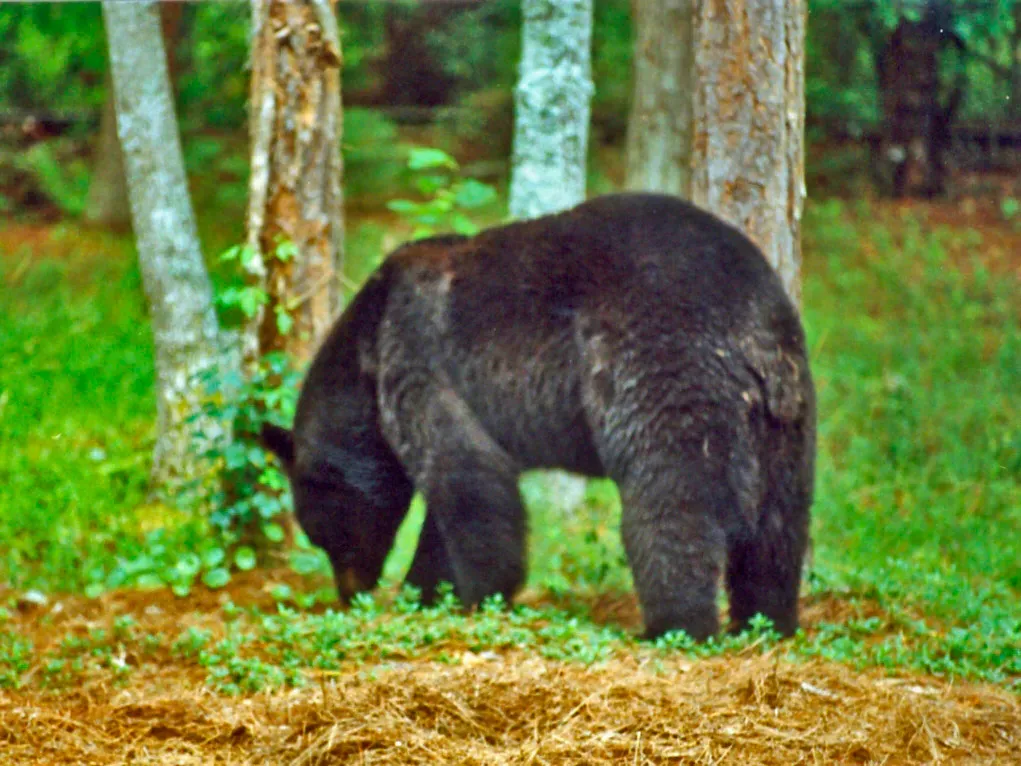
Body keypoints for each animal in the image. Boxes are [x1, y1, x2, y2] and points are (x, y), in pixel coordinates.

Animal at [261, 192, 816, 641]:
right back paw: (767, 620)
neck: (366, 349)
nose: (348, 593)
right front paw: (426, 590)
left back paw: (675, 625)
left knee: (673, 501)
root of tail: (753, 330)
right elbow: (449, 511)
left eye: (324, 532)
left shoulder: (416, 359)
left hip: (663, 369)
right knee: (779, 526)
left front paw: (482, 592)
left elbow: (465, 477)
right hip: (786, 417)